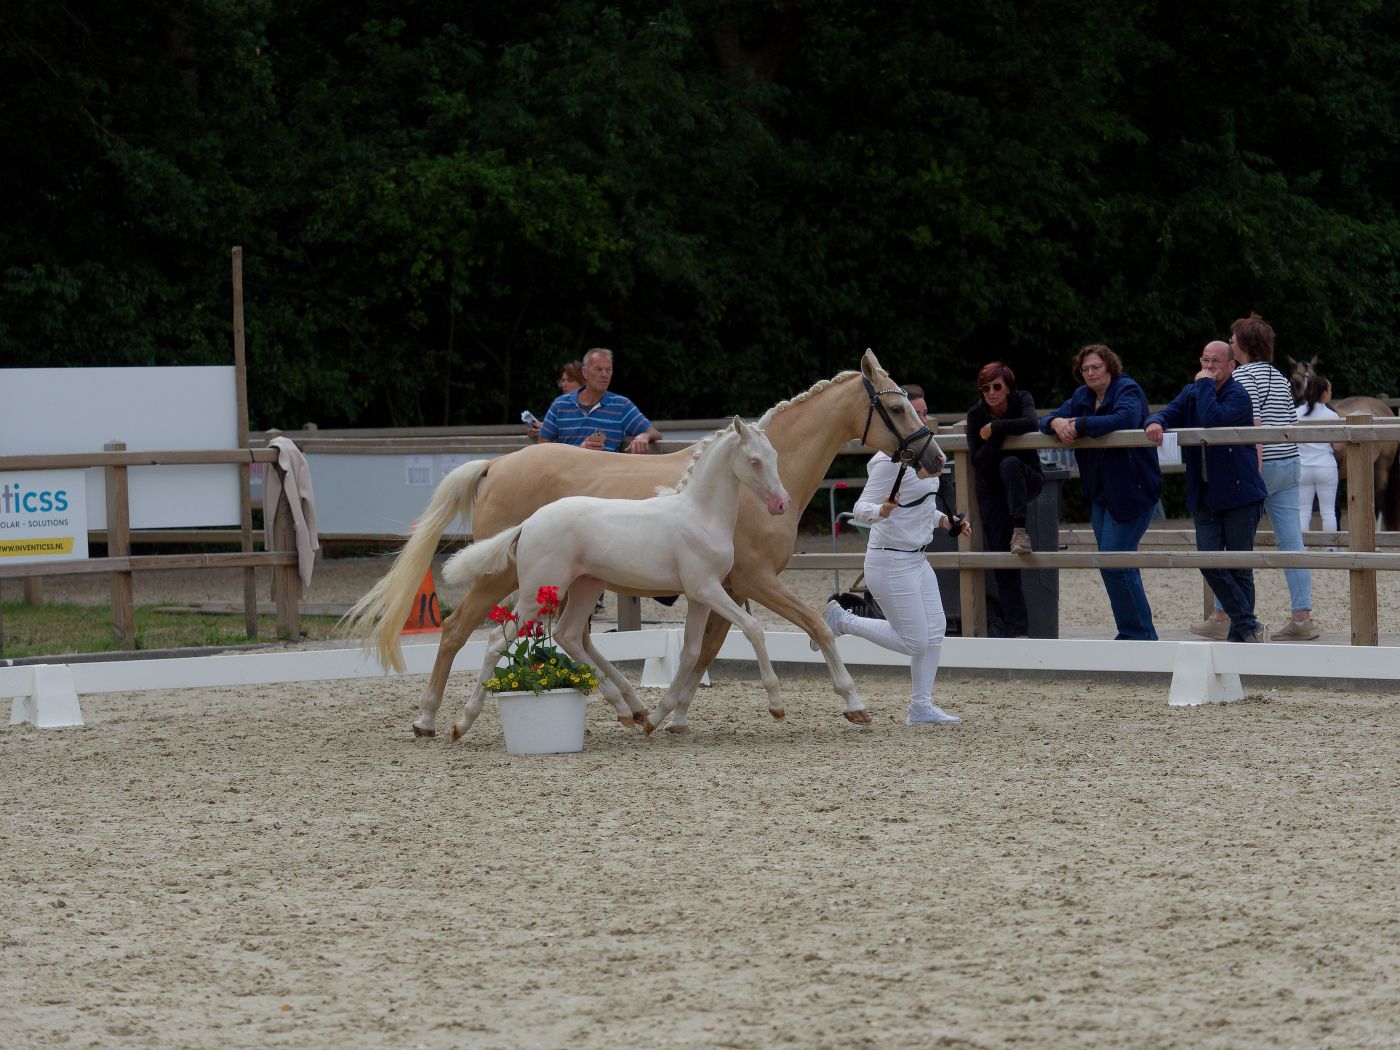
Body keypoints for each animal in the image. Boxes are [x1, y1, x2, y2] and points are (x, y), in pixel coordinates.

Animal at [437, 417, 790, 739]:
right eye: (754, 460)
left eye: (774, 455)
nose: (781, 503)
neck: (700, 516)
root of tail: (529, 522)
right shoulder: (707, 589)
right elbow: (753, 628)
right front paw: (776, 705)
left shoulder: (699, 595)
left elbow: (691, 652)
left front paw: (656, 718)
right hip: (537, 593)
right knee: (498, 641)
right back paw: (461, 723)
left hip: (584, 587)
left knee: (568, 635)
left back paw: (625, 710)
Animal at [1288, 356, 1400, 530]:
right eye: (1295, 380)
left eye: (1313, 378)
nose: (1305, 403)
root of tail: (1384, 407)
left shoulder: (1336, 474)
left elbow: (1335, 511)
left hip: (1381, 467)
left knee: (1379, 503)